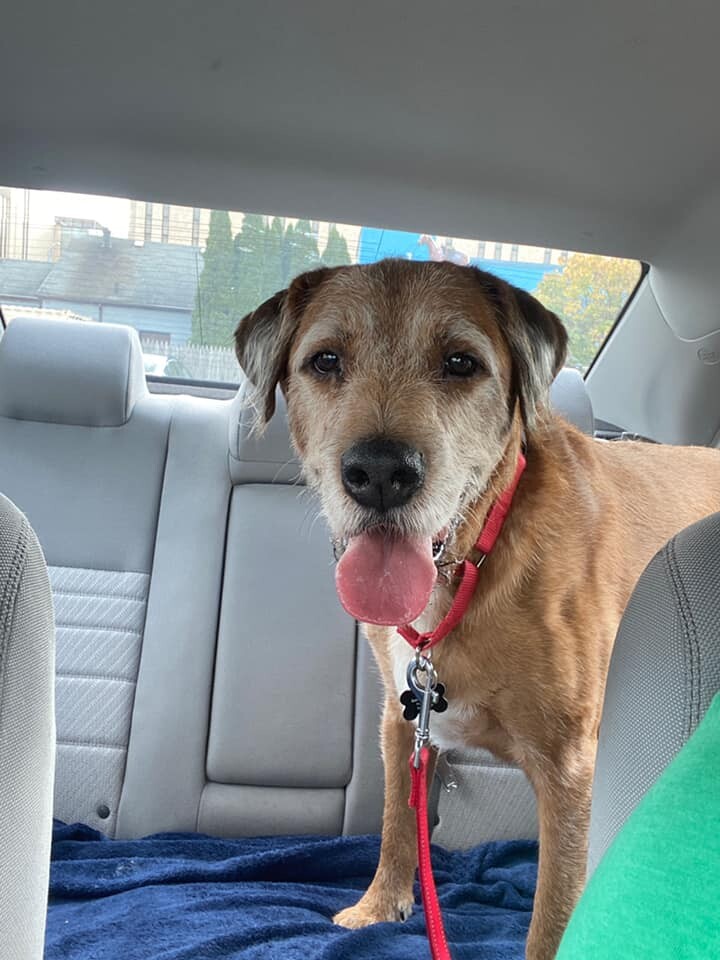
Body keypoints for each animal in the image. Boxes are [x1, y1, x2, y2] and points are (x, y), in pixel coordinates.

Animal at [235, 256, 720, 960]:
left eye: (461, 363)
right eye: (324, 360)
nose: (380, 474)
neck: (472, 563)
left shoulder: (571, 772)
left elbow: (554, 912)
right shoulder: (402, 717)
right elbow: (398, 820)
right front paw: (379, 907)